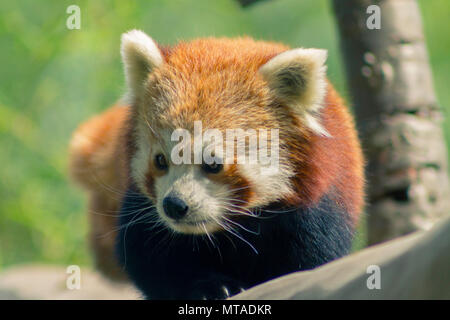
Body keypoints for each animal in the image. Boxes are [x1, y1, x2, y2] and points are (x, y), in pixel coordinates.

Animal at [68, 29, 364, 298]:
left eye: (213, 164)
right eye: (160, 160)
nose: (175, 205)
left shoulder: (315, 203)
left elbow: (310, 259)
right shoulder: (142, 207)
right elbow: (149, 257)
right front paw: (208, 287)